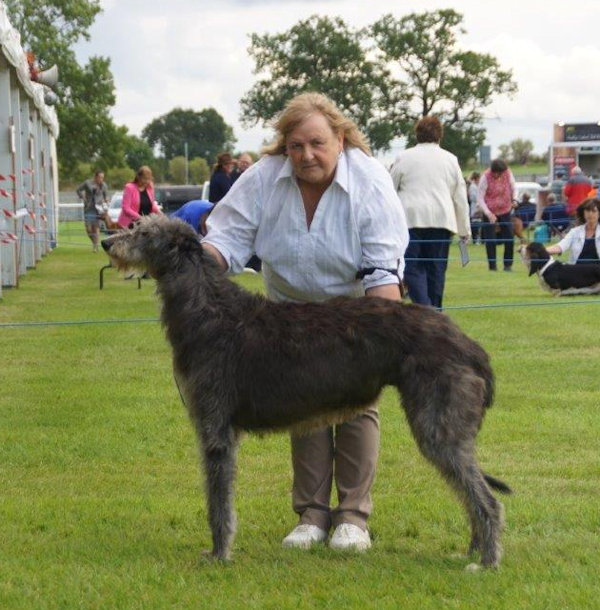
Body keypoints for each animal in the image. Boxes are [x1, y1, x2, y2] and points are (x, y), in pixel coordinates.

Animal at [102, 216, 510, 568]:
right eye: (136, 224)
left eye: (143, 232)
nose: (107, 242)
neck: (206, 308)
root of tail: (471, 347)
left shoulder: (215, 429)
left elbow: (218, 501)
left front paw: (218, 554)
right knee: (471, 491)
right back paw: (474, 551)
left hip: (438, 425)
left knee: (486, 498)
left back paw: (487, 561)